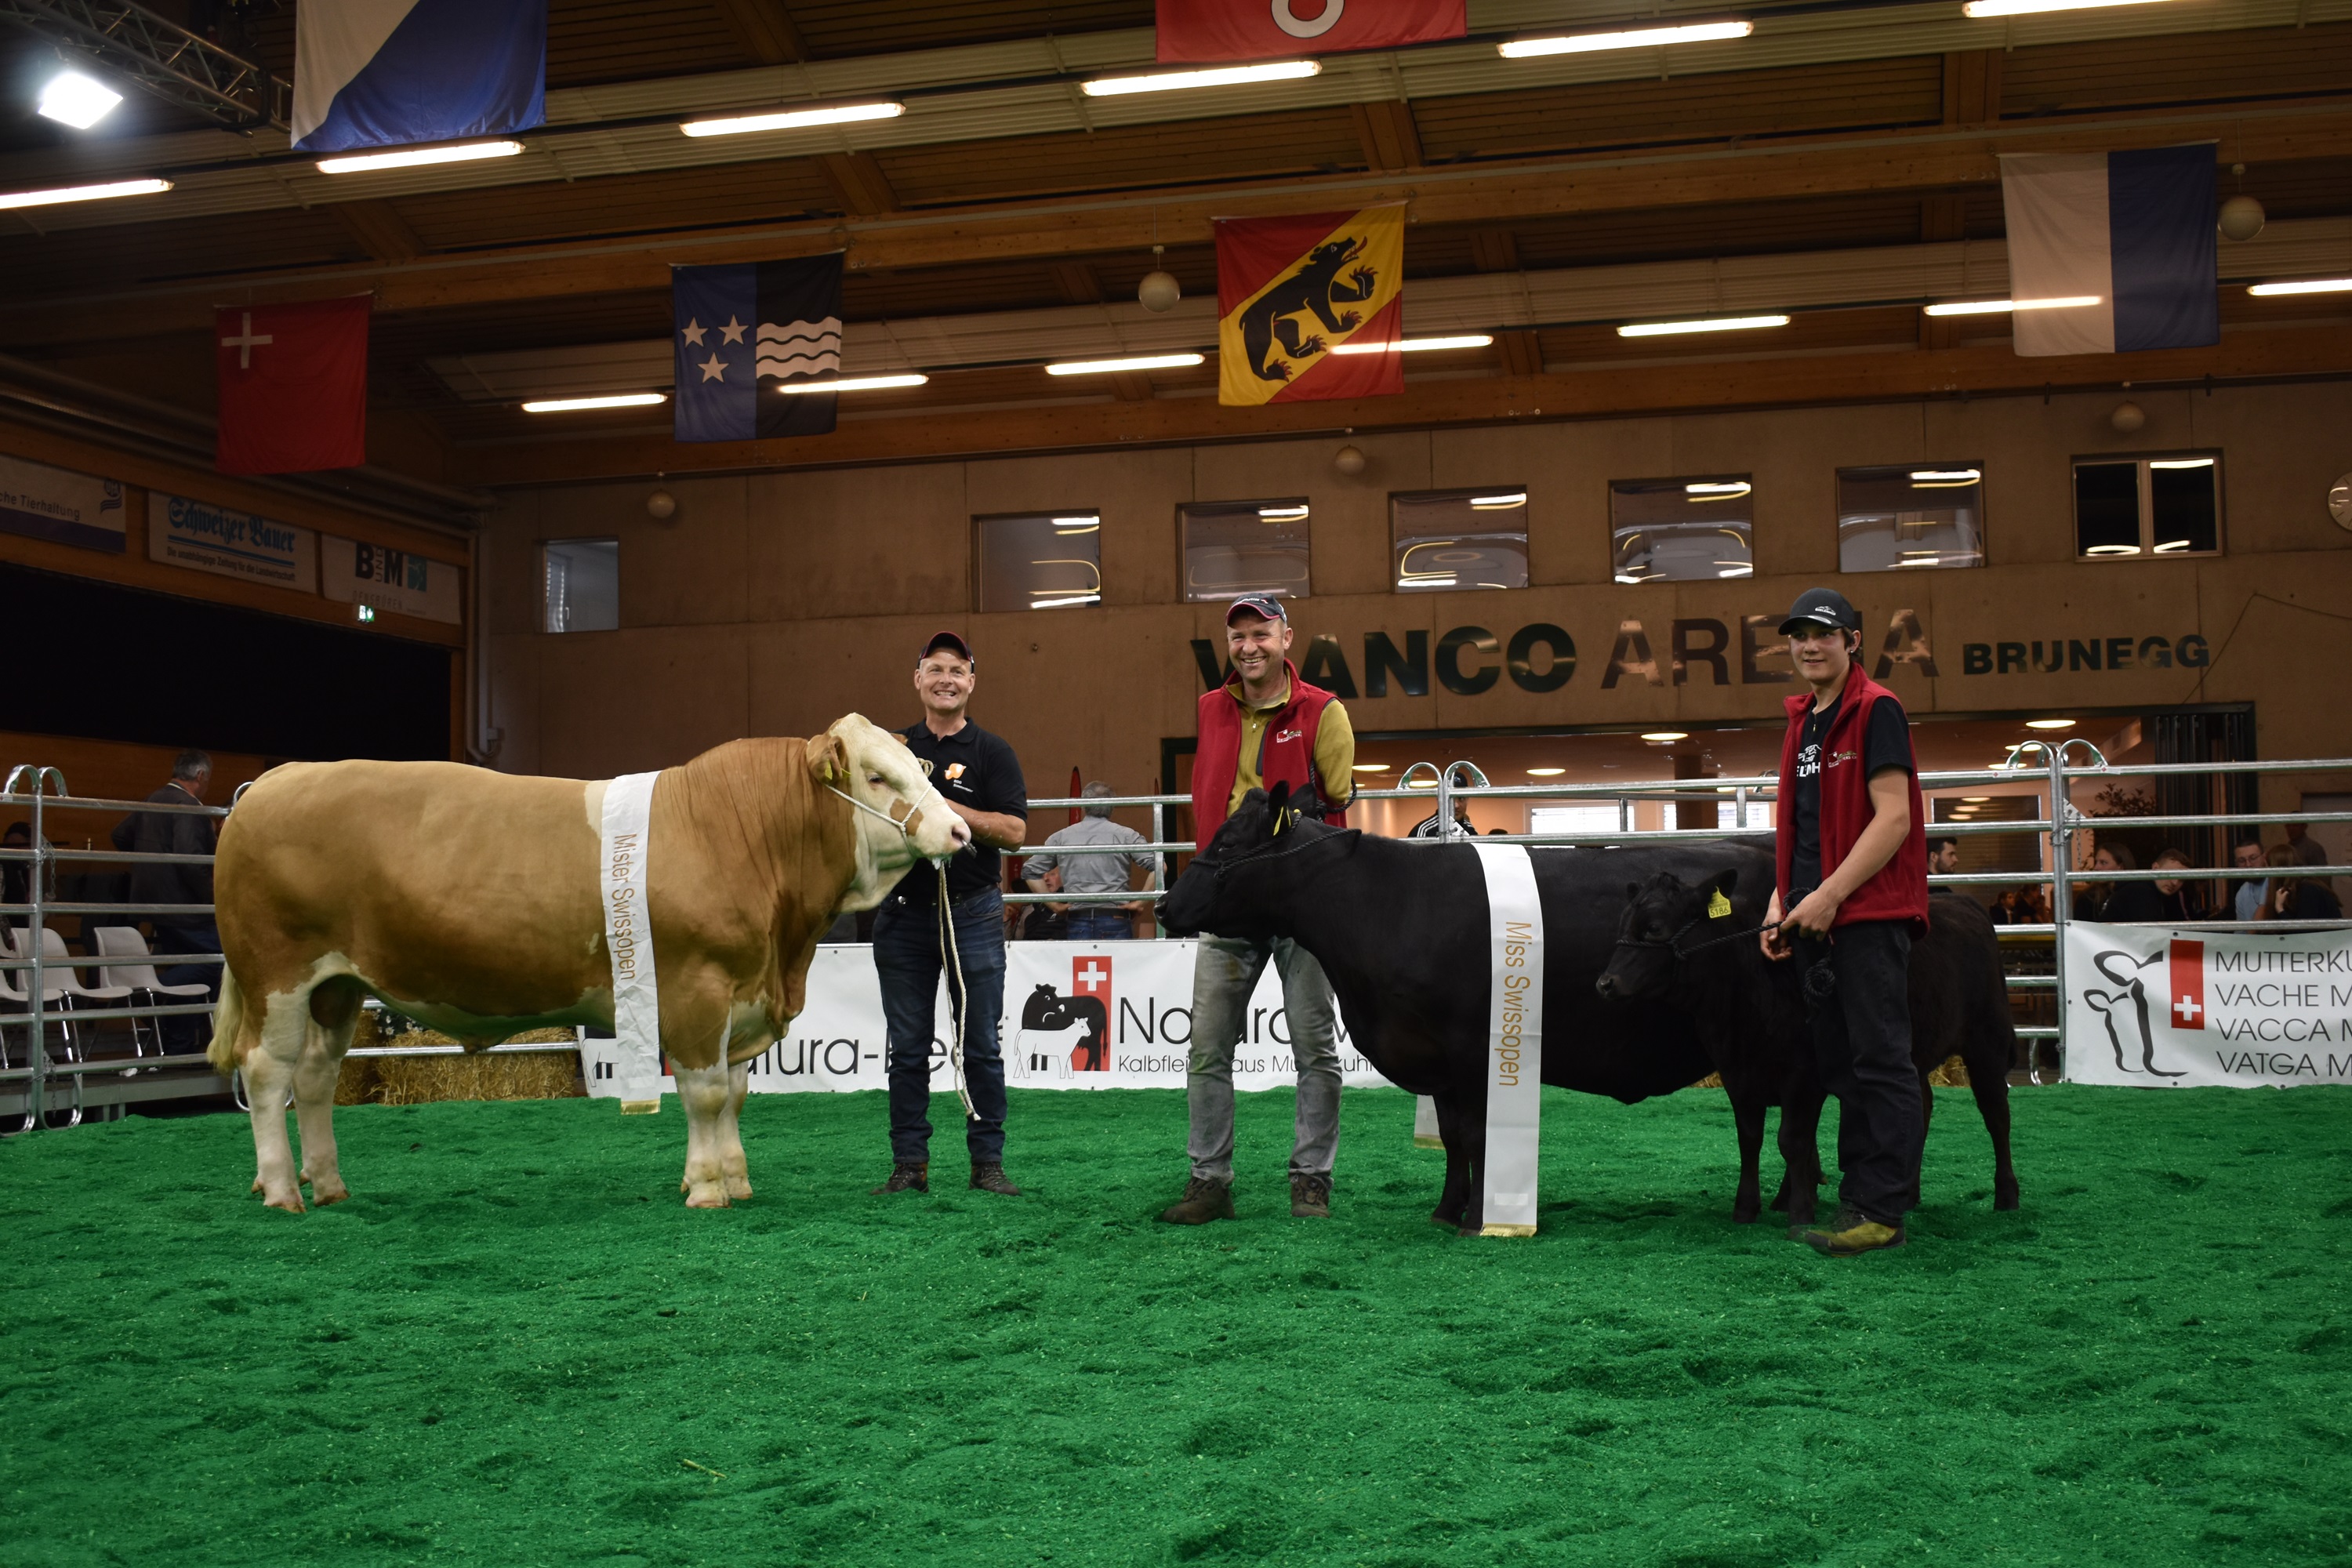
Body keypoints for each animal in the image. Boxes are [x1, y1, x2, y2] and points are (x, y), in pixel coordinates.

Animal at [208, 715, 968, 1213]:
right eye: (877, 776)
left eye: (921, 769)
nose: (960, 830)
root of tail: (276, 781)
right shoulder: (696, 991)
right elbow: (706, 1093)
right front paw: (707, 1188)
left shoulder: (744, 995)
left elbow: (735, 1093)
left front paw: (733, 1177)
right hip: (276, 974)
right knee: (266, 1071)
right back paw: (282, 1190)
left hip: (336, 986)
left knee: (314, 1077)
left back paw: (329, 1184)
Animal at [1158, 782, 1779, 1234]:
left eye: (1228, 845)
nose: (1163, 906)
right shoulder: (1435, 1055)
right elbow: (1454, 1136)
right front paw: (1444, 1210)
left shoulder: (1473, 1045)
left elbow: (1480, 1134)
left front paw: (1479, 1217)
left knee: (1754, 1115)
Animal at [1596, 868, 2021, 1227]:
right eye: (1622, 924)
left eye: (1654, 928)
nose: (1605, 983)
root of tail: (1960, 901)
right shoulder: (1738, 1076)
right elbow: (1749, 1140)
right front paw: (1746, 1209)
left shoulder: (1802, 1078)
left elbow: (1793, 1140)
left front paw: (1800, 1211)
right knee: (1920, 1103)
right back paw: (1907, 1194)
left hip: (1988, 1040)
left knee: (1996, 1113)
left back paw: (2006, 1197)